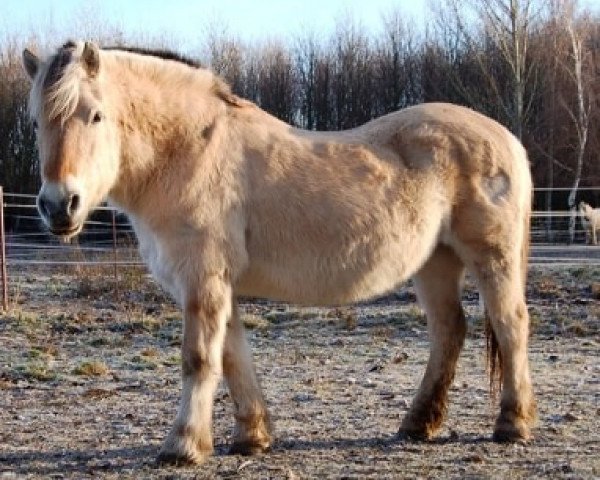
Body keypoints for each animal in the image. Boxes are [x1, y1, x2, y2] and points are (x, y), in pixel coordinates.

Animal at [22, 41, 536, 464]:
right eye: (36, 122)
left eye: (95, 115)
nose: (58, 205)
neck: (189, 153)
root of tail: (508, 139)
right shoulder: (218, 285)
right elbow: (233, 357)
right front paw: (252, 437)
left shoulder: (203, 279)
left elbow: (199, 359)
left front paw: (183, 446)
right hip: (435, 263)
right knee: (449, 331)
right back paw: (417, 425)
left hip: (492, 258)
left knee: (510, 324)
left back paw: (512, 424)